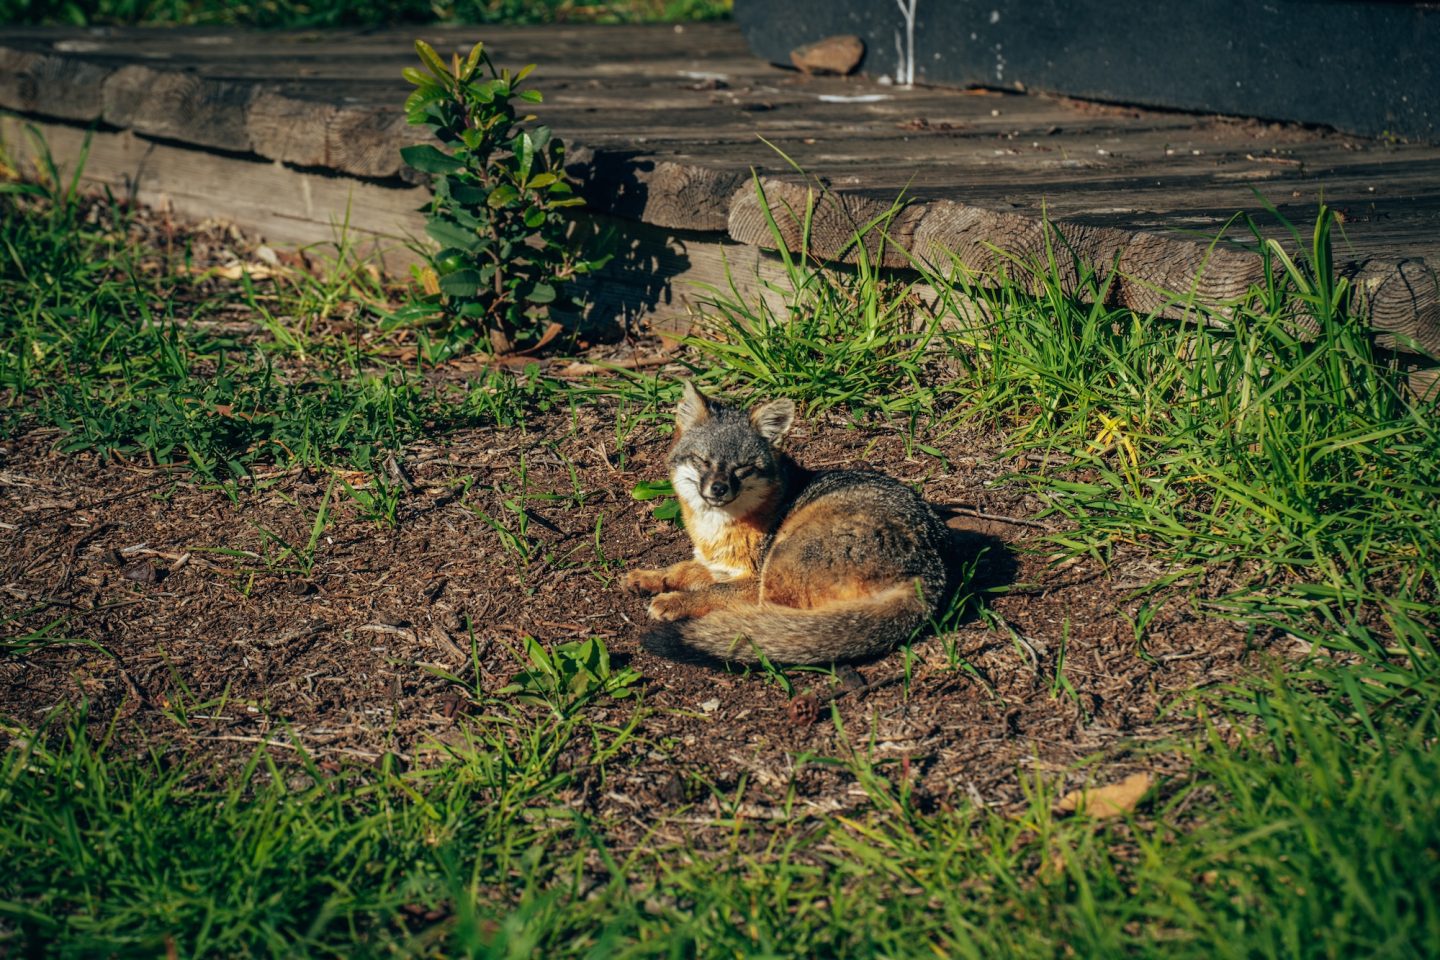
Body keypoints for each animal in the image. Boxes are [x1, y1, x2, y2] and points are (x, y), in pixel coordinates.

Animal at [624, 382, 950, 667]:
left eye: (742, 467)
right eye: (702, 461)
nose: (718, 488)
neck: (717, 530)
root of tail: (928, 572)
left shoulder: (752, 578)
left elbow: (713, 591)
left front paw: (676, 601)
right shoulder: (719, 565)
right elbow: (683, 569)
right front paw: (649, 577)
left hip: (781, 559)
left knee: (769, 617)